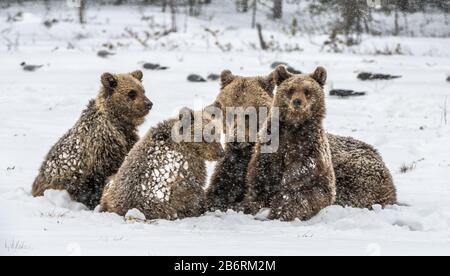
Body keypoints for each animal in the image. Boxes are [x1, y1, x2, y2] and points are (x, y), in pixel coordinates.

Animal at [244, 66, 336, 221]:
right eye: (291, 89)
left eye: (307, 90)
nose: (297, 101)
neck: (293, 126)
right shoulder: (272, 140)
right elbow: (261, 168)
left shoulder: (309, 145)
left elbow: (302, 170)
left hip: (319, 192)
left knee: (298, 200)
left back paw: (279, 213)